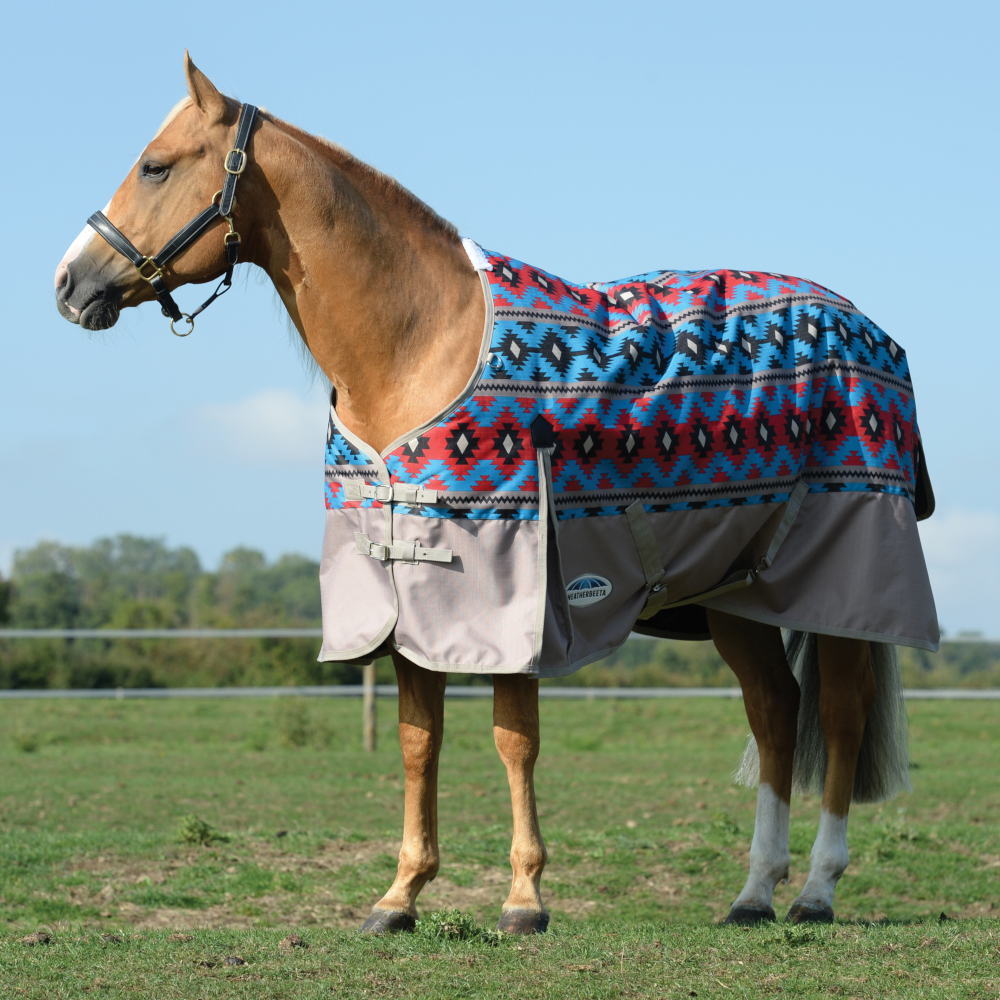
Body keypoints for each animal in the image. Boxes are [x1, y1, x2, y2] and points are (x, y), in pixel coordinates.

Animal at [55, 54, 938, 930]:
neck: (419, 348)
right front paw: (400, 896)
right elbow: (419, 740)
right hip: (737, 596)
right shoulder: (405, 600)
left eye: (155, 166)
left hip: (836, 586)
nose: (69, 282)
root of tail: (868, 330)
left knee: (842, 715)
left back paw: (817, 890)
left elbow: (514, 739)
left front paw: (524, 898)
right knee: (777, 712)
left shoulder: (514, 596)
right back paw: (754, 893)